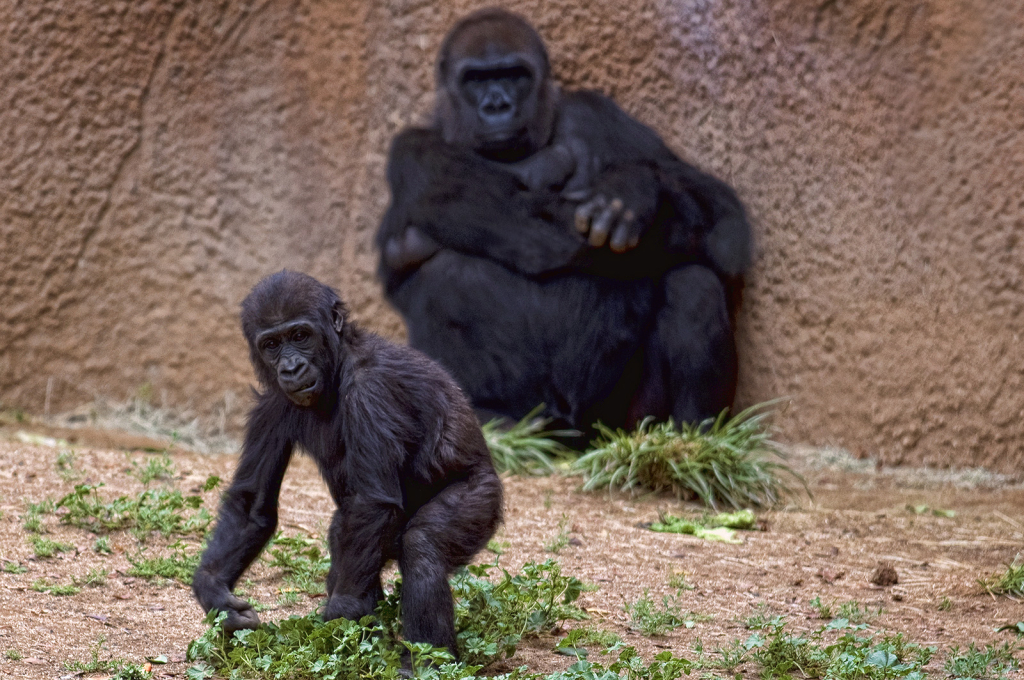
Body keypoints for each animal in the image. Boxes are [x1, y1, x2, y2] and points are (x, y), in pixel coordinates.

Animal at [192, 270, 503, 655]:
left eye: (300, 335)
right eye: (272, 344)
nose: (291, 367)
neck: (337, 364)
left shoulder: (372, 388)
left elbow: (372, 501)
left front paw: (343, 611)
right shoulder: (270, 403)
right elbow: (252, 505)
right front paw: (216, 594)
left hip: (483, 497)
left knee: (422, 546)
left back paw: (426, 659)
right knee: (346, 533)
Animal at [376, 10, 753, 432]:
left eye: (514, 74)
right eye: (474, 79)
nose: (497, 105)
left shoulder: (597, 111)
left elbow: (723, 224)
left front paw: (634, 190)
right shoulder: (413, 150)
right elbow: (524, 223)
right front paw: (631, 190)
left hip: (616, 424)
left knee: (693, 282)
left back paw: (694, 434)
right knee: (444, 276)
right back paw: (491, 420)